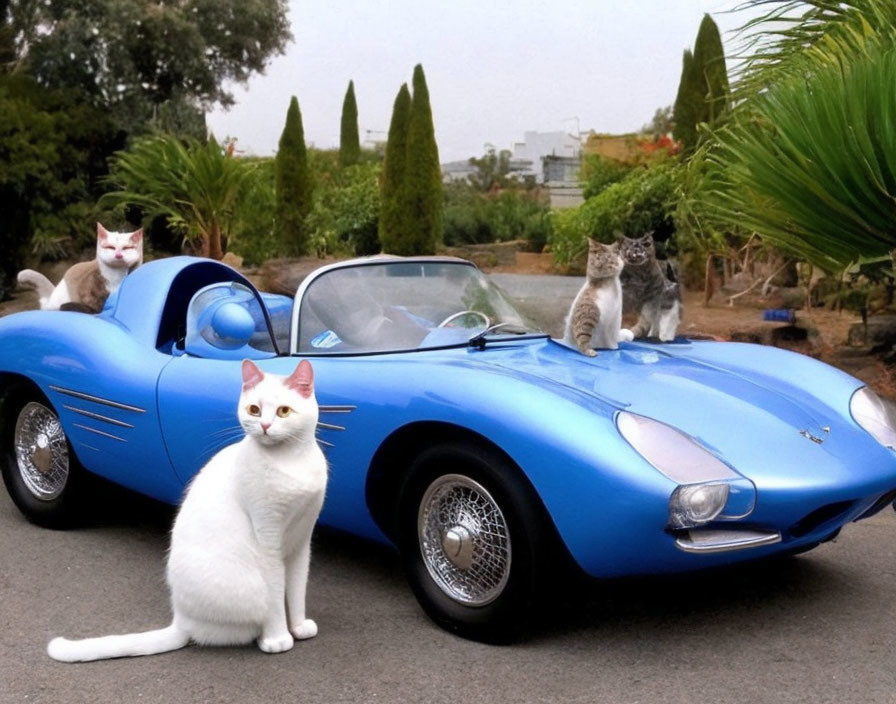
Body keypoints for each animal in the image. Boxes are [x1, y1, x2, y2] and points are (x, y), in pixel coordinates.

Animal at [47, 360, 328, 664]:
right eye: (254, 410)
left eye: (283, 411)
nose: (264, 425)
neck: (291, 462)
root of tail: (182, 621)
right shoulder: (268, 541)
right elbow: (277, 595)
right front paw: (278, 638)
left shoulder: (302, 541)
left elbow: (297, 589)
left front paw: (298, 626)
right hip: (249, 588)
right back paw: (264, 636)